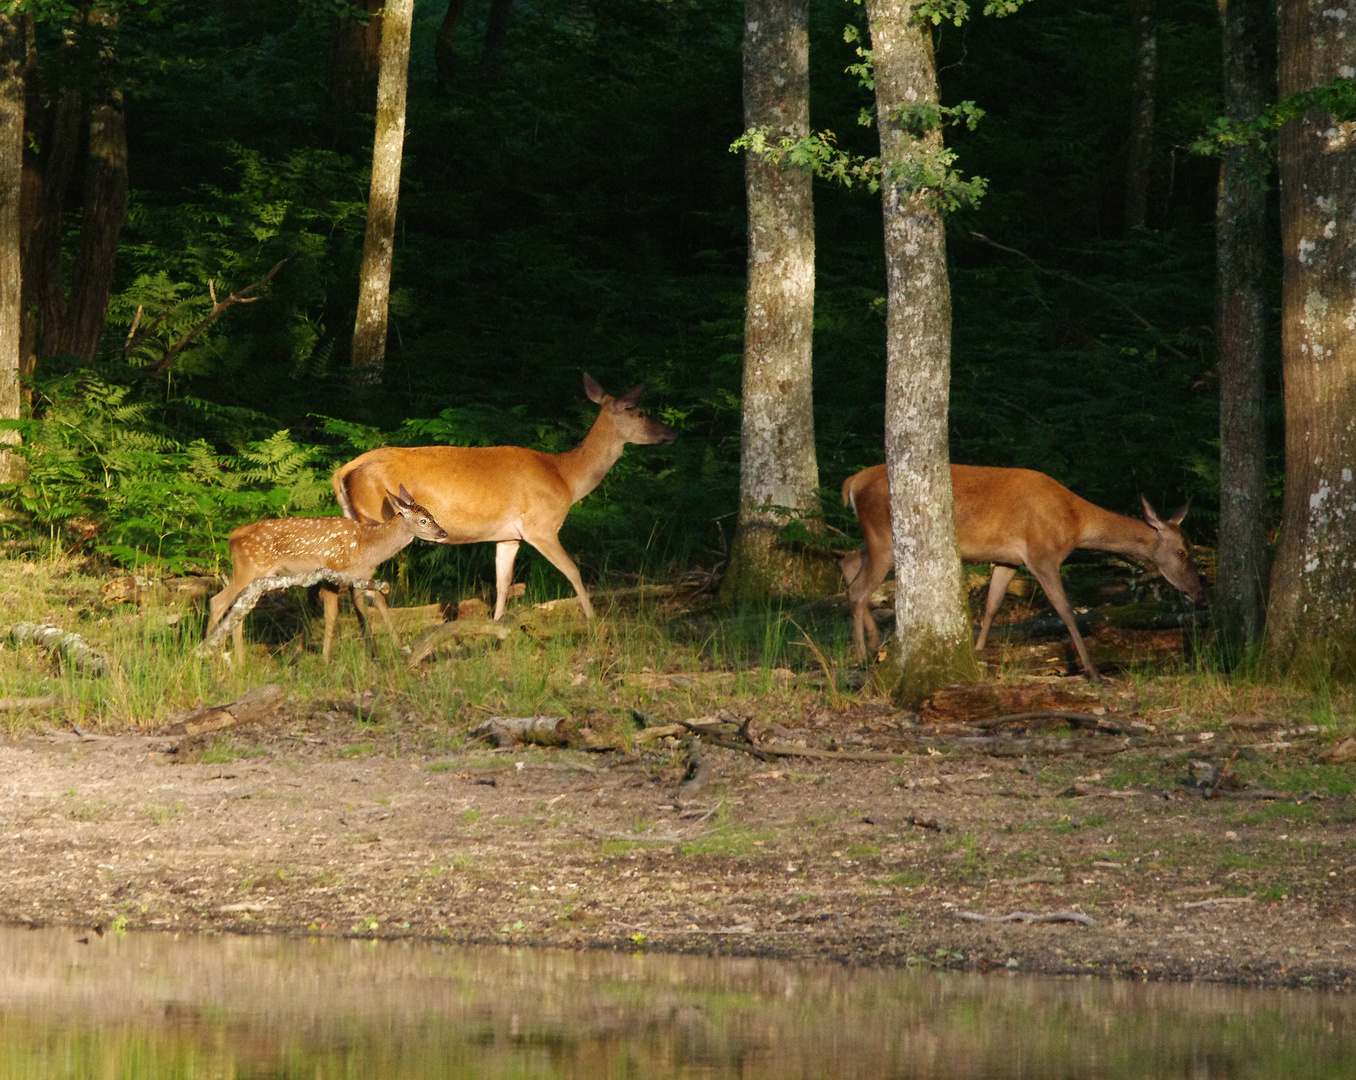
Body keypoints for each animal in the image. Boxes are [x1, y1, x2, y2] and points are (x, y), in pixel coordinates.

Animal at [207, 488, 450, 659]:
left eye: (433, 515)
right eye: (423, 520)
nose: (443, 533)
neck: (367, 547)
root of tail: (232, 537)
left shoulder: (361, 578)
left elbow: (378, 606)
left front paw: (397, 649)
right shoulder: (333, 571)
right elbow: (332, 614)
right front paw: (326, 657)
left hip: (254, 576)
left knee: (238, 607)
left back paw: (239, 660)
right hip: (248, 568)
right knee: (218, 601)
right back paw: (210, 657)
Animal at [329, 374, 678, 621]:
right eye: (641, 412)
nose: (671, 433)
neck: (565, 477)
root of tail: (344, 470)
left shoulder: (509, 536)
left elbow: (502, 582)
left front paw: (496, 626)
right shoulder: (541, 526)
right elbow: (573, 571)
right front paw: (594, 619)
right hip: (374, 517)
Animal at [835, 466, 1209, 683]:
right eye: (1183, 552)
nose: (1199, 592)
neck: (1074, 522)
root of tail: (852, 482)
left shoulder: (1009, 560)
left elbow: (992, 605)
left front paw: (979, 652)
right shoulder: (1042, 554)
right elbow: (1065, 610)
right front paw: (1092, 671)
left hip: (875, 540)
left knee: (850, 562)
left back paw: (872, 643)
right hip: (885, 536)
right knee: (859, 590)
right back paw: (861, 657)